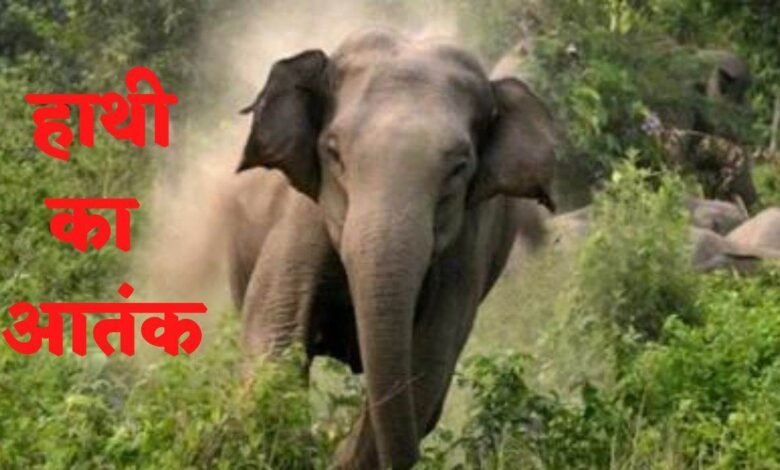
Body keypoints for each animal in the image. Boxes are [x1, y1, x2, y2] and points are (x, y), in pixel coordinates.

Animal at [229, 29, 557, 469]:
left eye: (459, 167)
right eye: (333, 152)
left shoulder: (464, 250)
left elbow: (425, 370)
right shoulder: (300, 219)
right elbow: (274, 338)